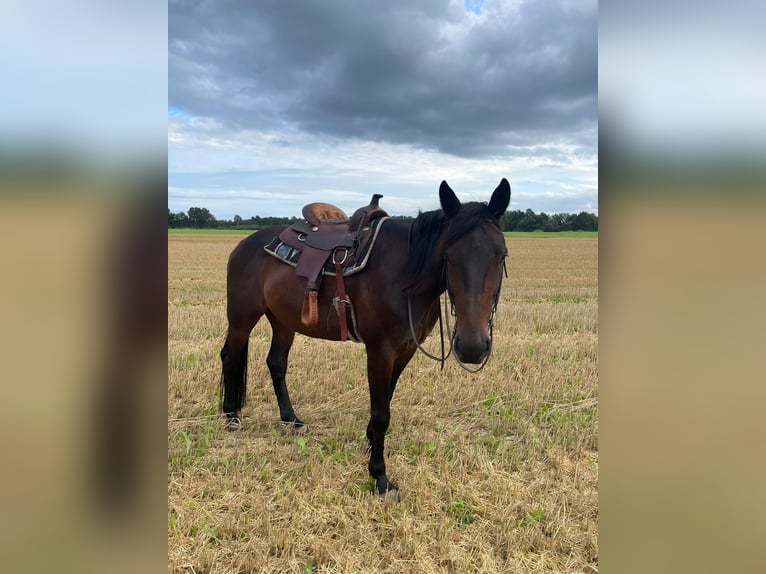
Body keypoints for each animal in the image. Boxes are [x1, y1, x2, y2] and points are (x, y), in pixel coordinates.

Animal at [220, 179, 510, 500]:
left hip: (284, 320)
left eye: (502, 255)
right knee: (230, 355)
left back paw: (291, 420)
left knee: (276, 363)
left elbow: (386, 400)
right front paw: (380, 476)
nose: (472, 346)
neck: (405, 275)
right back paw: (231, 415)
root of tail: (243, 245)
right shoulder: (380, 350)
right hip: (242, 316)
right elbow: (382, 411)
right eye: (447, 255)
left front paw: (371, 444)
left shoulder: (405, 349)